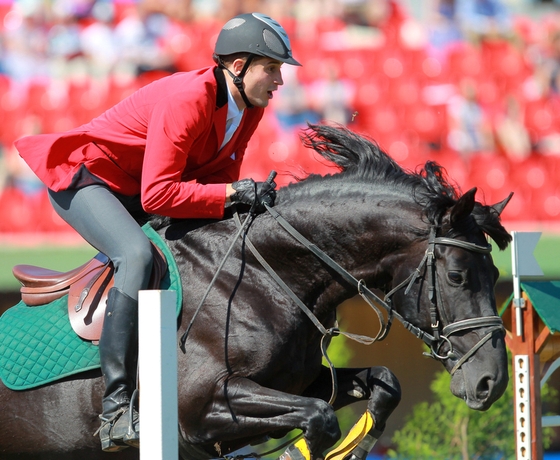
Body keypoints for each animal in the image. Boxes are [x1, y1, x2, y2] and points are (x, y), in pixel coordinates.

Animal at [0, 124, 512, 458]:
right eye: (457, 276)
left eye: (493, 274)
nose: (491, 383)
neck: (264, 276)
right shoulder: (203, 408)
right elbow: (318, 418)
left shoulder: (302, 381)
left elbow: (383, 384)